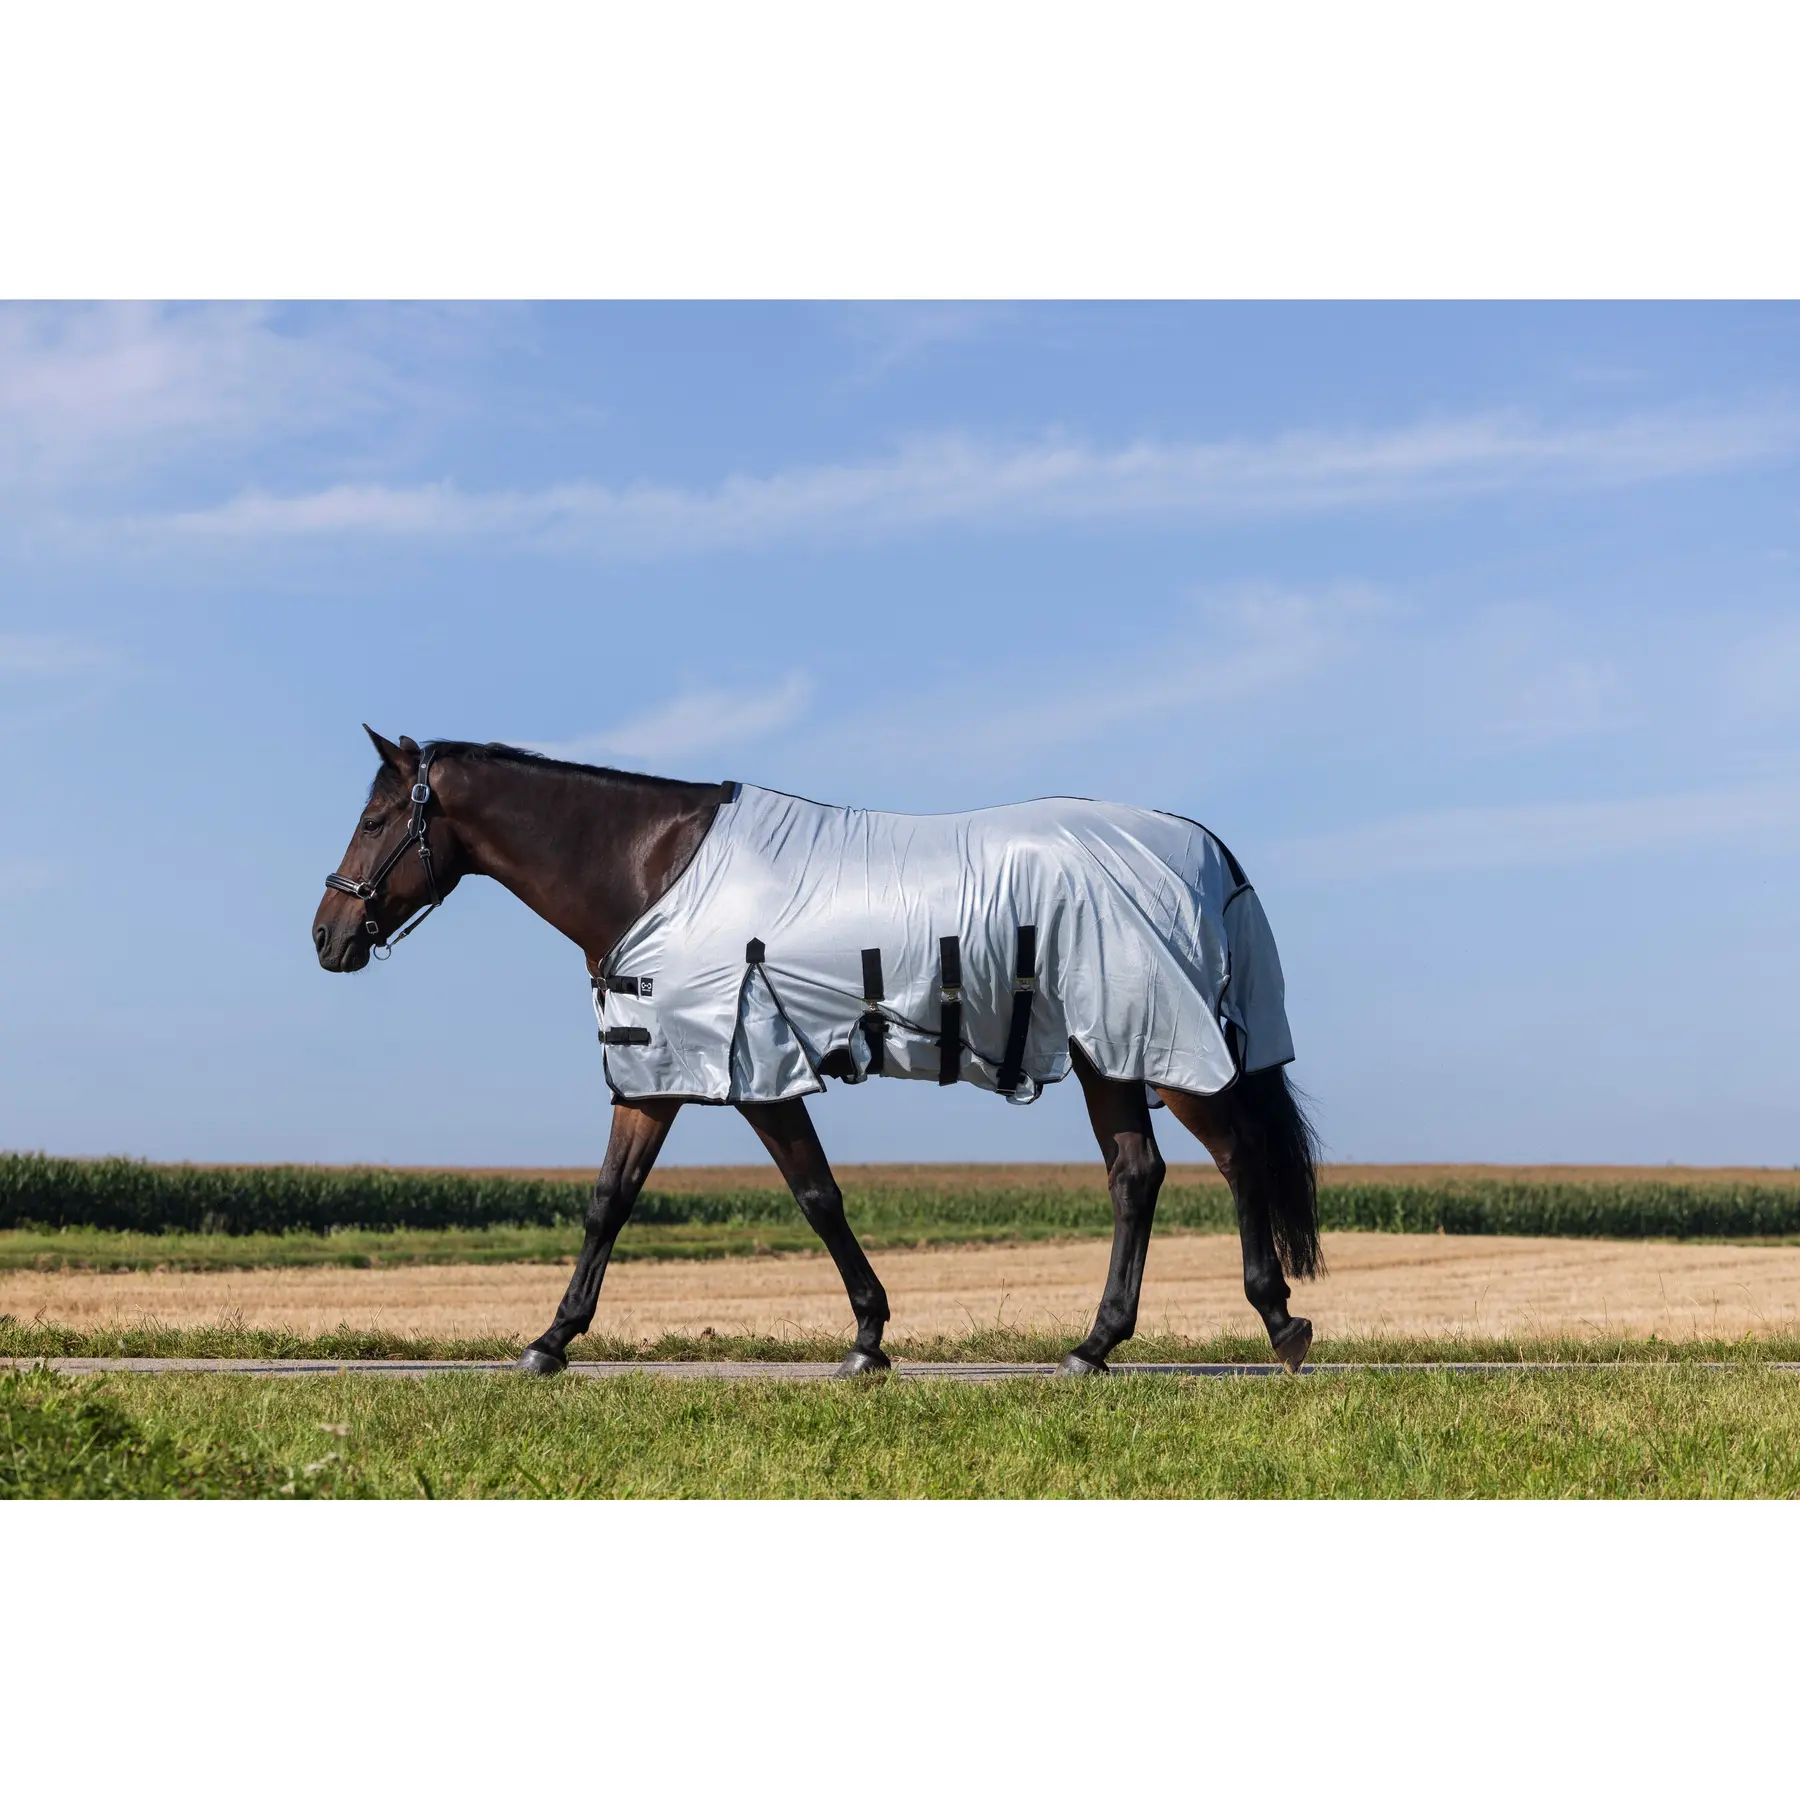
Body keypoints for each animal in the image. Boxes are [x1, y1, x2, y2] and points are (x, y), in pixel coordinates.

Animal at [312, 728, 1322, 1377]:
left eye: (372, 821)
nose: (328, 936)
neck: (650, 868)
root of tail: (1204, 848)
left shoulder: (751, 1070)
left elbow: (815, 1196)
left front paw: (868, 1339)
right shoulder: (658, 1076)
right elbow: (610, 1201)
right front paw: (551, 1341)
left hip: (1161, 1050)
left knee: (1234, 1157)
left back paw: (1279, 1323)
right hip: (1105, 1058)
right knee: (1136, 1174)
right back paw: (1094, 1345)